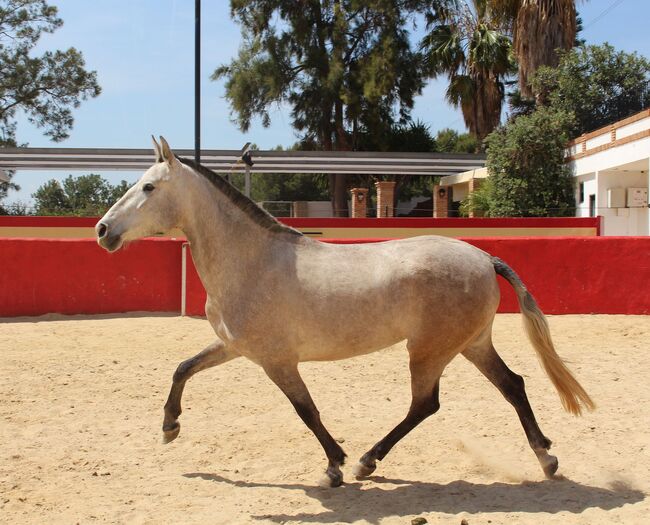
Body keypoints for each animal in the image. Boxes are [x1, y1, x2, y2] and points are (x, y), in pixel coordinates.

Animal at [96, 136, 592, 488]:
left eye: (148, 186)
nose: (102, 230)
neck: (253, 260)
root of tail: (485, 257)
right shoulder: (236, 347)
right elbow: (183, 368)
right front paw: (169, 427)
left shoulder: (277, 361)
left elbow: (307, 411)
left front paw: (334, 466)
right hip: (472, 344)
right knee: (513, 386)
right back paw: (546, 457)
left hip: (430, 351)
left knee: (426, 403)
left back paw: (367, 462)